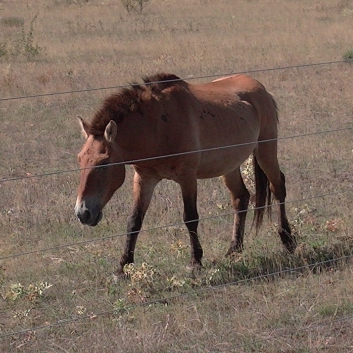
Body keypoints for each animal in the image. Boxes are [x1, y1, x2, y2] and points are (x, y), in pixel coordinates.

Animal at [74, 72, 294, 276]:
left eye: (103, 164)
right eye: (79, 160)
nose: (82, 213)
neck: (158, 125)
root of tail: (261, 88)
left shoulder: (187, 177)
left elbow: (190, 217)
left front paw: (195, 262)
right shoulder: (144, 179)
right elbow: (134, 221)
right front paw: (123, 268)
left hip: (265, 151)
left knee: (278, 187)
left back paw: (288, 240)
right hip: (229, 166)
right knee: (241, 198)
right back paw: (234, 250)